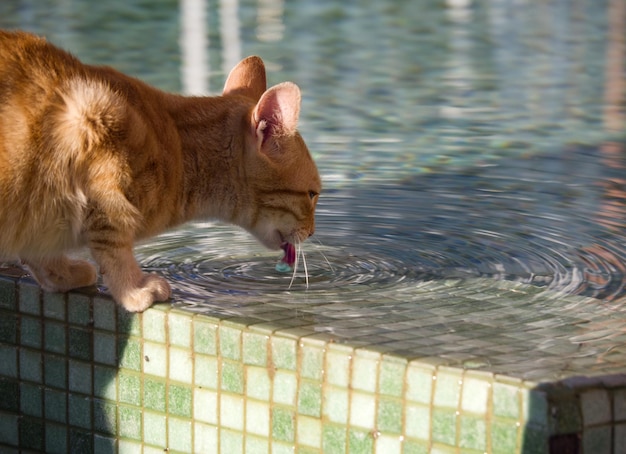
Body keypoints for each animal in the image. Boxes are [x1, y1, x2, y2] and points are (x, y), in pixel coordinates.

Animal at [0, 31, 320, 312]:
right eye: (312, 194)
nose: (313, 232)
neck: (178, 147)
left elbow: (39, 247)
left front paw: (61, 273)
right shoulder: (97, 142)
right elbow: (113, 244)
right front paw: (133, 289)